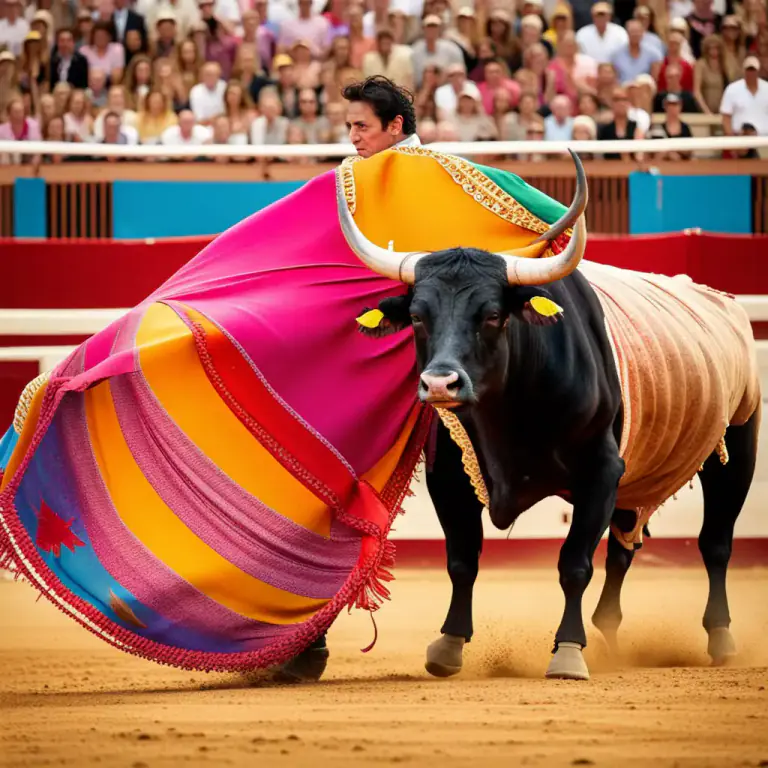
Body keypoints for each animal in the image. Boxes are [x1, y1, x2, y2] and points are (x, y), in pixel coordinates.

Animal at [336, 151, 761, 681]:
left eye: (492, 315)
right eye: (417, 316)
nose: (439, 384)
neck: (510, 410)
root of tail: (725, 304)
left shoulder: (601, 470)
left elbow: (574, 562)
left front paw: (568, 650)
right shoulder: (450, 476)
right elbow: (462, 558)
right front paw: (449, 644)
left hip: (738, 445)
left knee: (715, 541)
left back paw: (719, 635)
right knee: (625, 545)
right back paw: (610, 630)